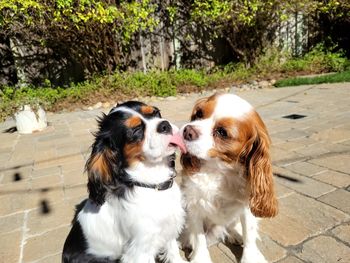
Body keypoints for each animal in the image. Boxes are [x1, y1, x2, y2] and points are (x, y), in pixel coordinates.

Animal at [63, 101, 189, 263]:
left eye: (156, 113)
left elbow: (173, 251)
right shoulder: (140, 249)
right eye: (136, 130)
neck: (152, 185)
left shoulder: (170, 226)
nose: (164, 125)